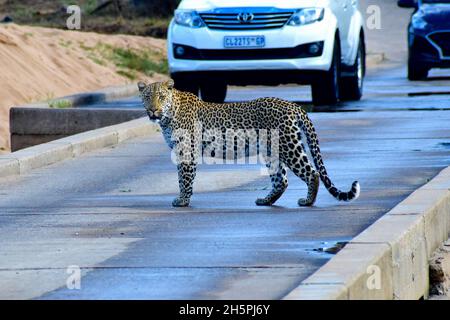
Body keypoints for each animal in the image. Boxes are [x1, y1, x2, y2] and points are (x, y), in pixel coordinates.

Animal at [139, 80, 360, 208]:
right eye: (147, 97)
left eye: (161, 97)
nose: (153, 110)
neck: (168, 115)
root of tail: (293, 105)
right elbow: (181, 176)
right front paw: (183, 199)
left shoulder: (186, 150)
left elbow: (184, 178)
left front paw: (183, 200)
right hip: (272, 149)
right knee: (281, 180)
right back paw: (265, 201)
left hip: (288, 146)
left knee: (311, 172)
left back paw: (307, 201)